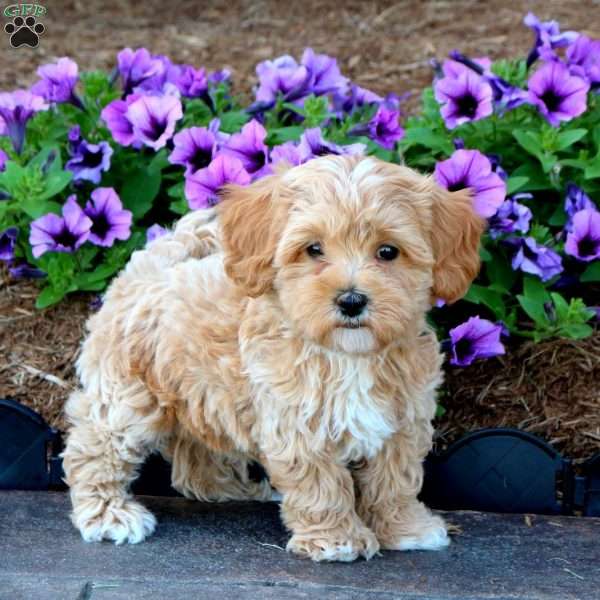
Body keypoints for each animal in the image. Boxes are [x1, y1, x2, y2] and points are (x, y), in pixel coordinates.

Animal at [62, 155, 482, 564]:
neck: (346, 354)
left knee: (195, 454)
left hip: (201, 394)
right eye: (314, 249)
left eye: (388, 252)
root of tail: (148, 267)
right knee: (94, 447)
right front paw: (336, 540)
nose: (351, 300)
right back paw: (108, 515)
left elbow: (395, 479)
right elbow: (321, 484)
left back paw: (228, 488)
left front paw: (405, 528)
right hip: (129, 397)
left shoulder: (403, 420)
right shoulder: (297, 425)